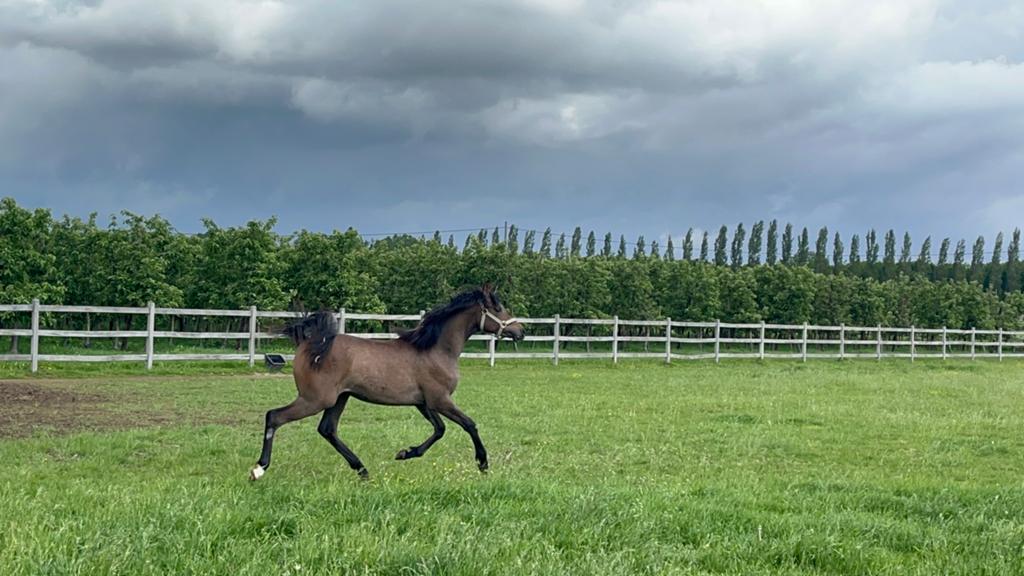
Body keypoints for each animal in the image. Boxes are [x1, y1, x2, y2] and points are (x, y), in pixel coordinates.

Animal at [250, 283, 524, 481]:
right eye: (498, 308)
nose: (520, 331)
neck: (435, 349)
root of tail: (310, 344)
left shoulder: (424, 402)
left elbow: (439, 430)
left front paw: (405, 453)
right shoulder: (440, 400)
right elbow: (469, 424)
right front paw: (483, 463)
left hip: (339, 398)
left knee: (327, 429)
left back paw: (362, 470)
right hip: (315, 399)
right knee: (274, 416)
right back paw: (259, 469)